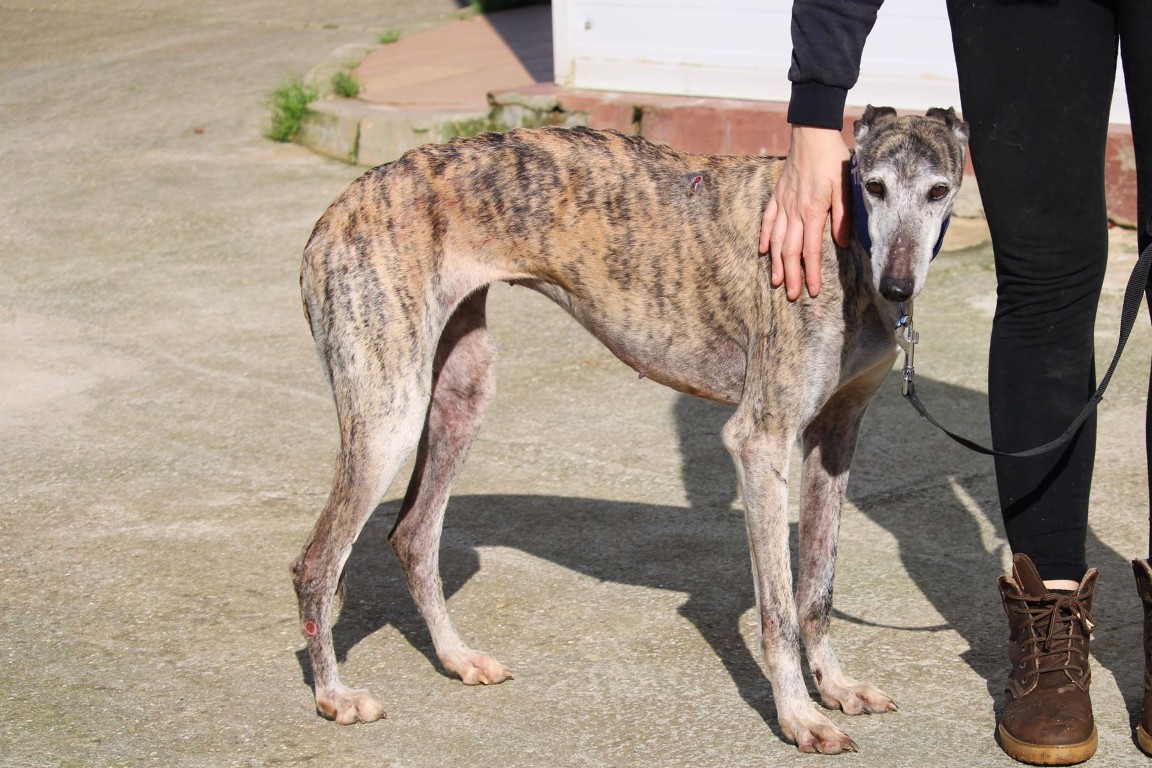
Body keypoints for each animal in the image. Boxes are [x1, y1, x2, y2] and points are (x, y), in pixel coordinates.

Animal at [291, 105, 969, 754]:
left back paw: (458, 659)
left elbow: (817, 592)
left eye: (938, 190)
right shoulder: (761, 439)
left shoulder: (836, 437)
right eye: (875, 186)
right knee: (316, 564)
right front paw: (799, 717)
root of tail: (338, 208)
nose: (898, 286)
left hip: (461, 394)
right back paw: (334, 696)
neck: (842, 236)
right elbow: (777, 608)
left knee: (412, 536)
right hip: (389, 415)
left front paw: (837, 687)